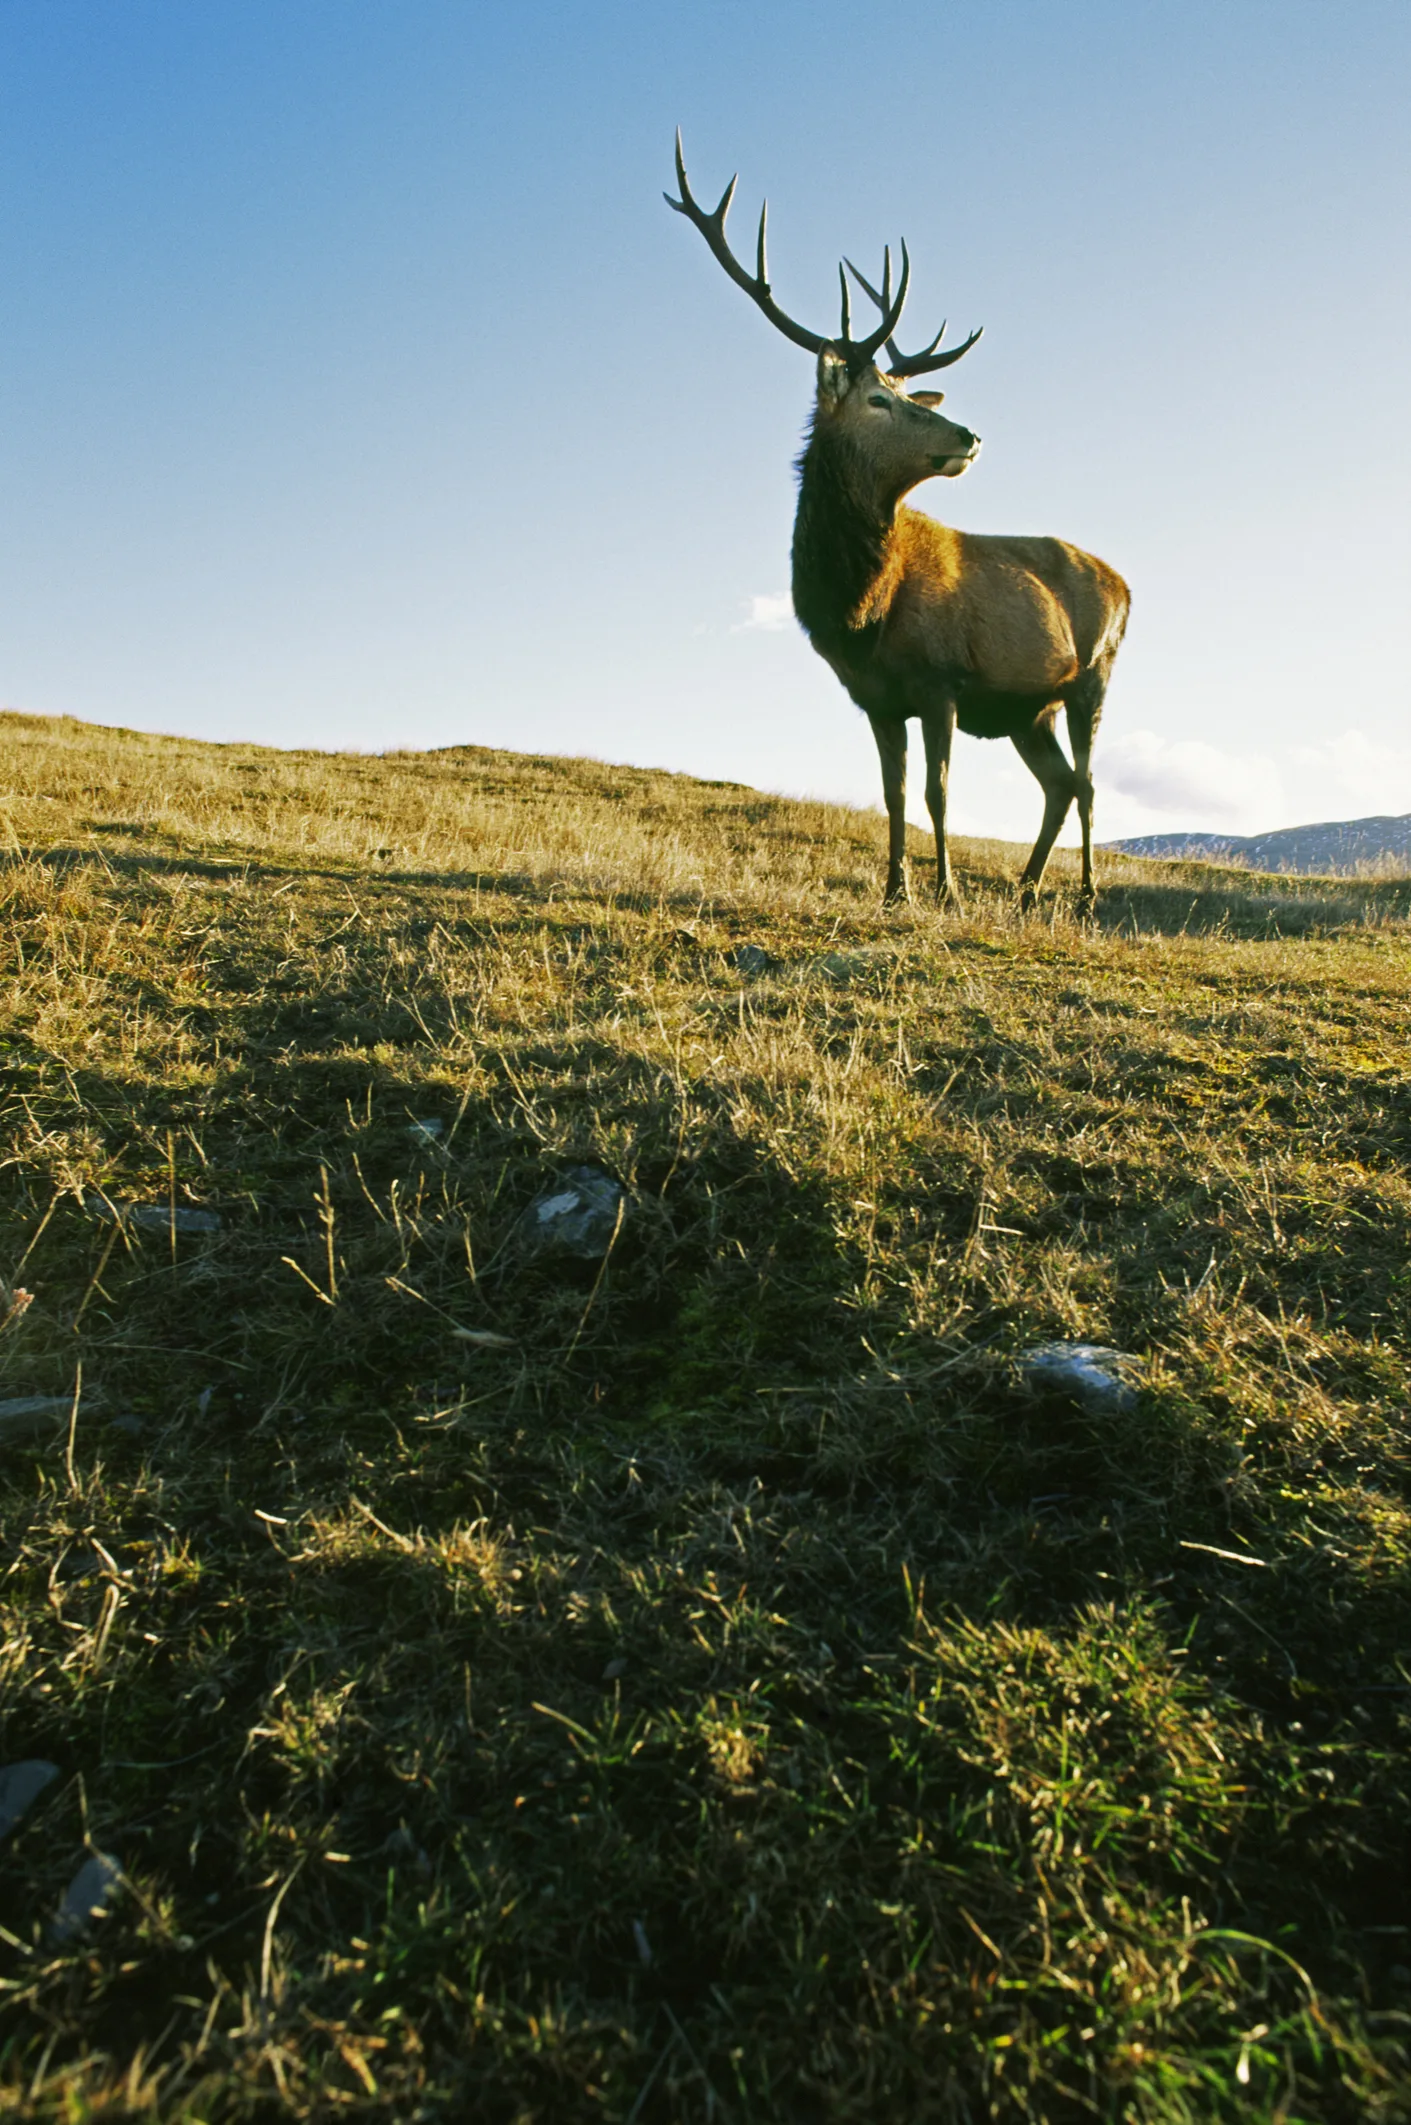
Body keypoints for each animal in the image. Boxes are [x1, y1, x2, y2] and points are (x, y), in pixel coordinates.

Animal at [666, 136, 1130, 913]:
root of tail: (1126, 585)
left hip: (1092, 675)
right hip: (1027, 709)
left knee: (1090, 782)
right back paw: (1026, 889)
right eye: (879, 400)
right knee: (1061, 784)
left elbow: (939, 793)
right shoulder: (875, 698)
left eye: (908, 393)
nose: (971, 434)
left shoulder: (942, 682)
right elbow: (894, 795)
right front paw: (894, 890)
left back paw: (1087, 893)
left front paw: (945, 891)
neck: (860, 609)